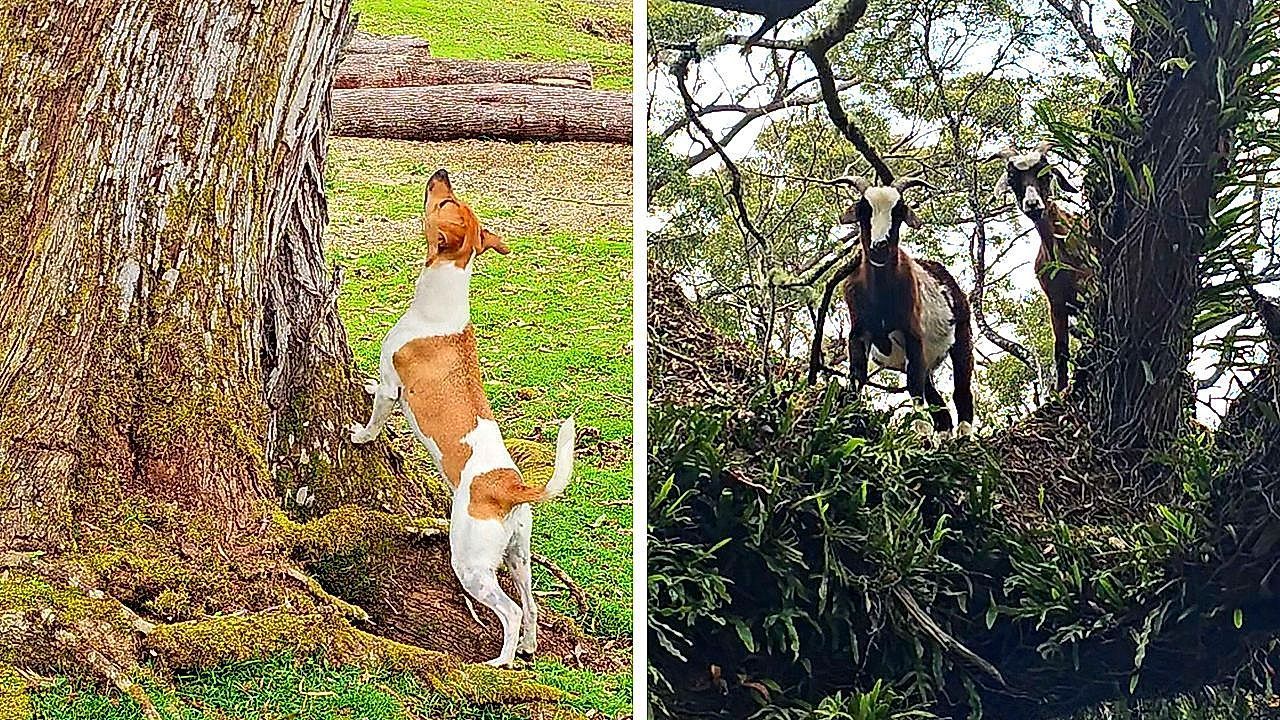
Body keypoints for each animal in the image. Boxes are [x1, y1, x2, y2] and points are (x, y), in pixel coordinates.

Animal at [834, 175, 975, 435]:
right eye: (863, 210)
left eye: (898, 212)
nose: (879, 248)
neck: (880, 298)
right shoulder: (858, 332)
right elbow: (857, 377)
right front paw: (849, 419)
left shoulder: (912, 334)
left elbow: (913, 386)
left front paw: (921, 433)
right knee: (940, 408)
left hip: (962, 334)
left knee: (961, 390)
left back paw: (964, 436)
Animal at [991, 142, 1091, 391]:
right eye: (1012, 177)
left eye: (1045, 174)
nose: (1033, 205)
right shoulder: (1056, 303)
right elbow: (1061, 350)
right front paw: (1060, 388)